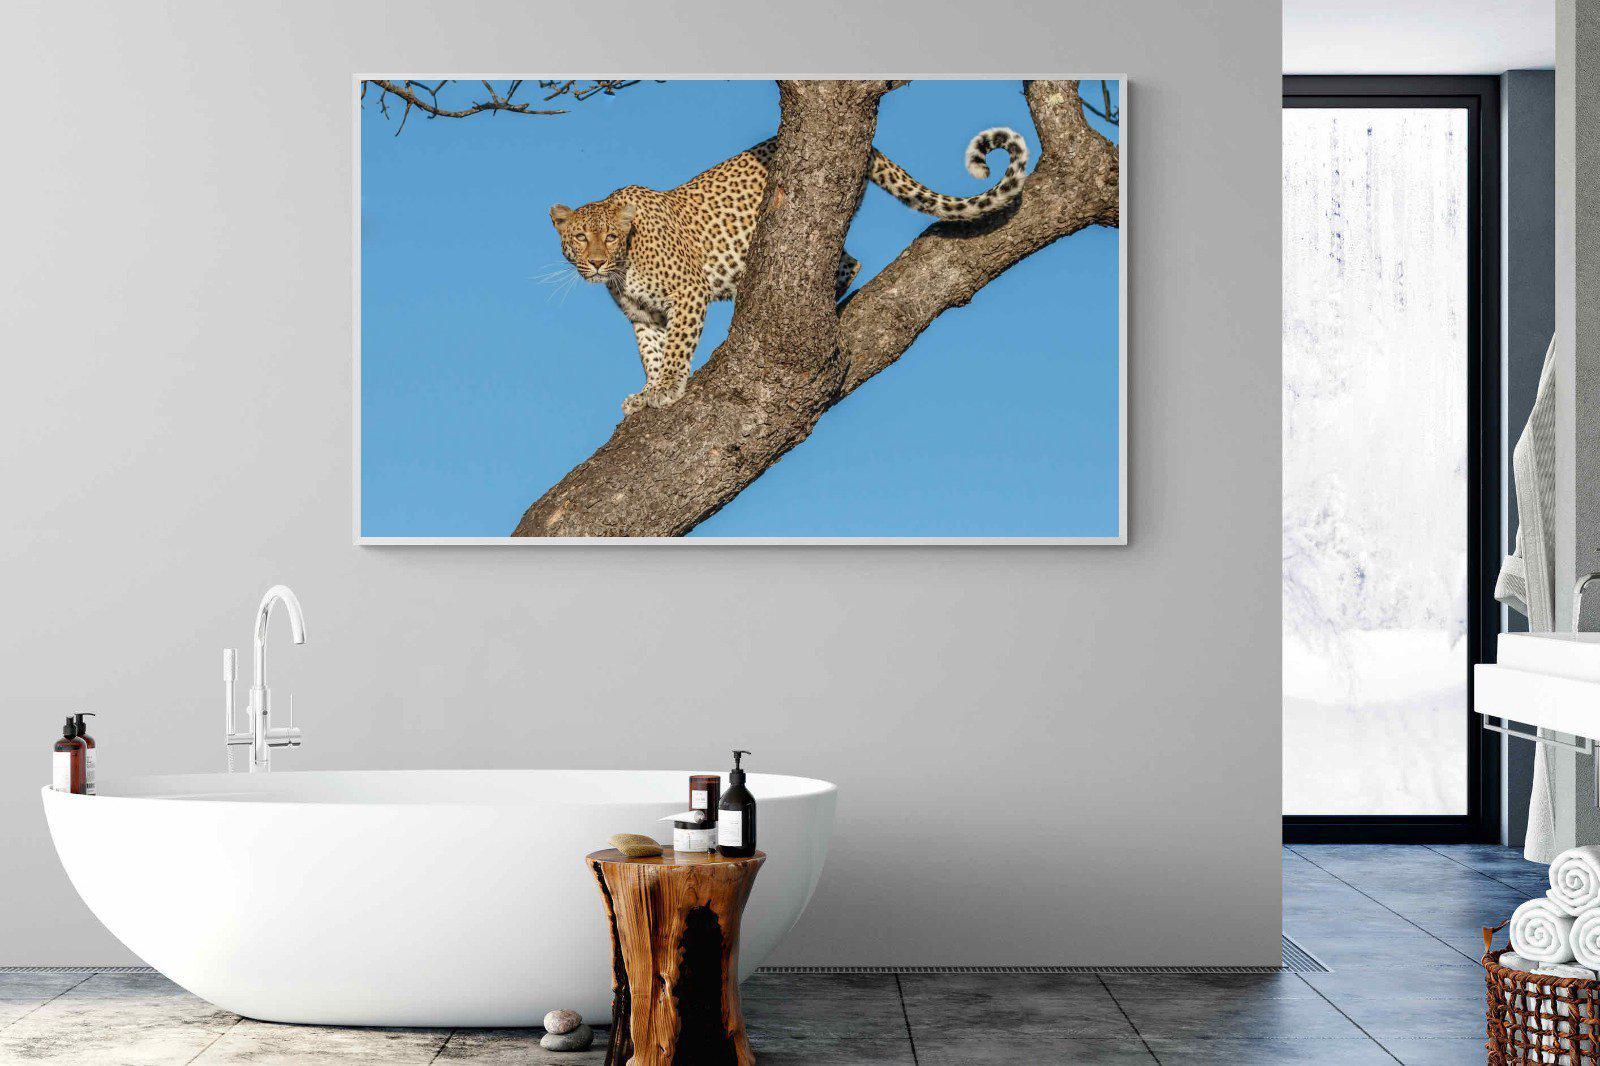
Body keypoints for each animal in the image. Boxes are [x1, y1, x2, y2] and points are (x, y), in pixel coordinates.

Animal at [550, 127, 1029, 415]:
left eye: (611, 236)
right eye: (581, 238)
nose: (596, 261)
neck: (623, 267)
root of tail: (868, 147)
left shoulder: (688, 292)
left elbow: (676, 349)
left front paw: (668, 386)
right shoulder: (643, 316)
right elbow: (650, 351)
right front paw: (646, 392)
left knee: (845, 263)